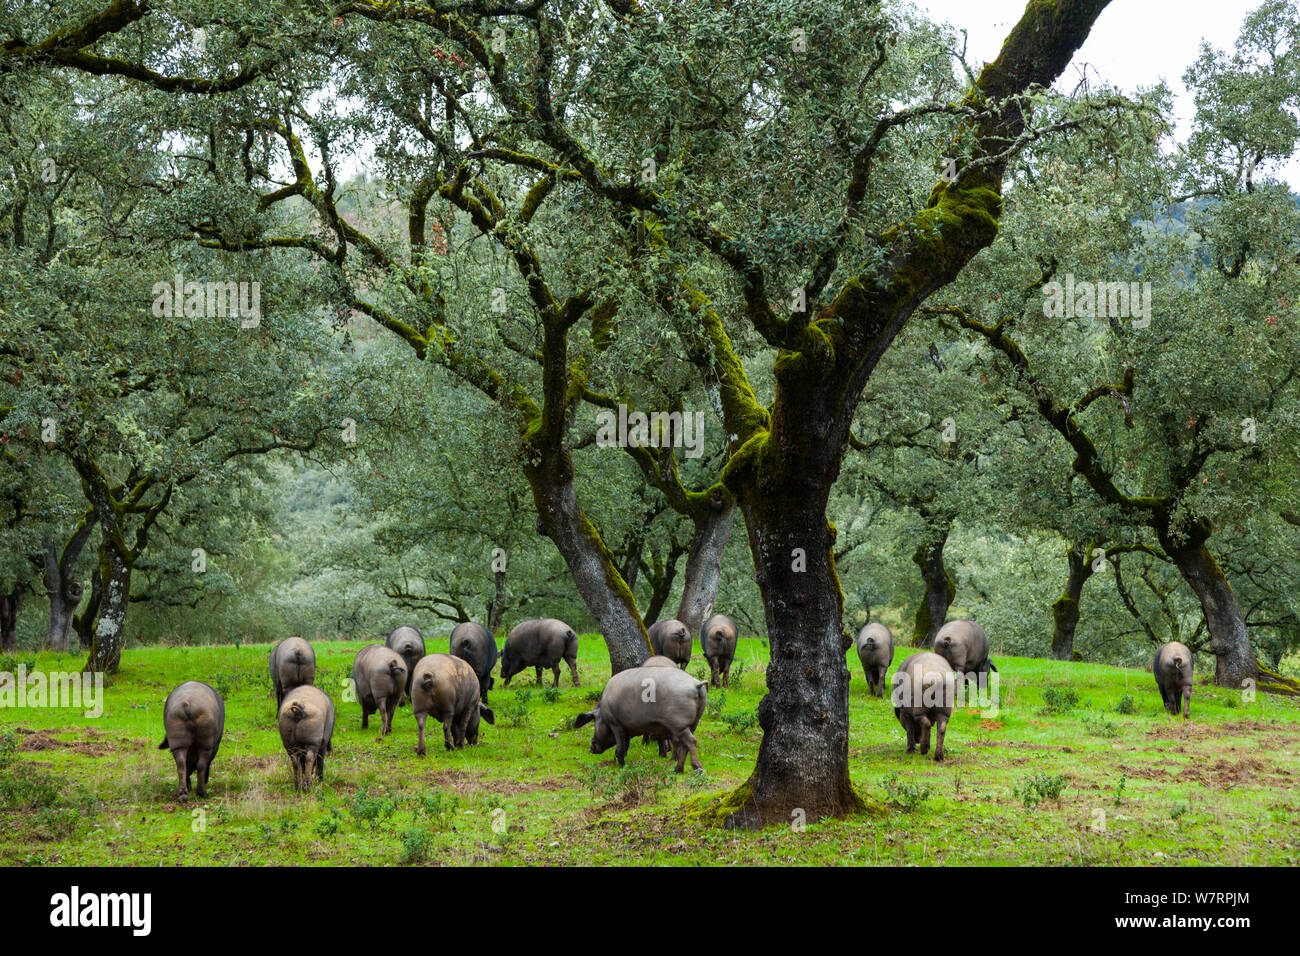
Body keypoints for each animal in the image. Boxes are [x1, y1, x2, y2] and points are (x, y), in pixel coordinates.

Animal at [574, 671, 707, 775]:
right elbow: (625, 745)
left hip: (679, 724)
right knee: (686, 744)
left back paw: (697, 768)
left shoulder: (616, 725)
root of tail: (696, 684)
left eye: (594, 722)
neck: (603, 711)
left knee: (691, 741)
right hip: (693, 723)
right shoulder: (626, 730)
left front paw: (621, 766)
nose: (590, 749)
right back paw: (677, 770)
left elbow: (620, 747)